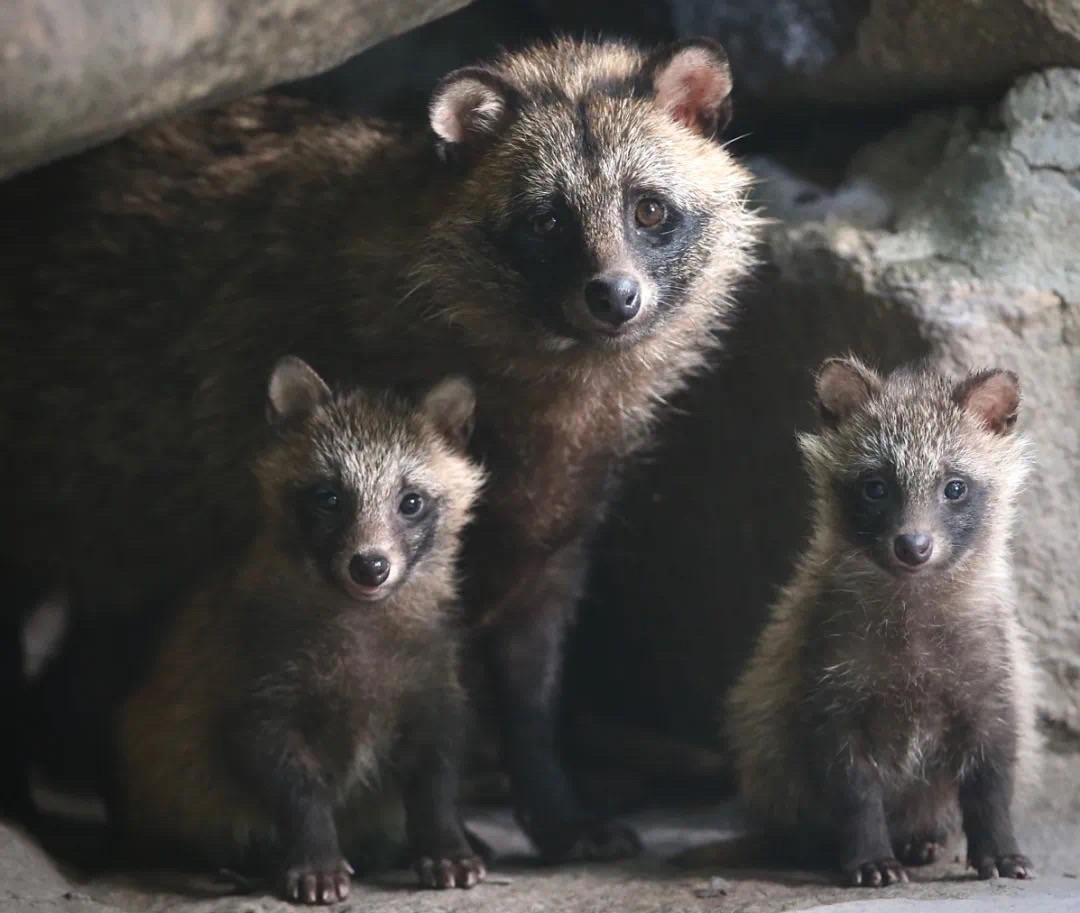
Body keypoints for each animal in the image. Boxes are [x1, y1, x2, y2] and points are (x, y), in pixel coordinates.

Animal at [116, 354, 483, 898]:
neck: (360, 621)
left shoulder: (432, 681)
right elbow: (295, 787)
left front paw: (446, 844)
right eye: (329, 498)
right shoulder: (256, 683)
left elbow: (436, 776)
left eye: (411, 502)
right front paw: (315, 856)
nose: (370, 567)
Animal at [725, 358, 1036, 885]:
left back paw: (922, 839)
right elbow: (853, 792)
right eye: (875, 487)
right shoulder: (826, 685)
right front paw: (870, 857)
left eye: (955, 487)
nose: (913, 546)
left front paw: (1000, 850)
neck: (913, 614)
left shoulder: (994, 682)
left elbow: (992, 782)